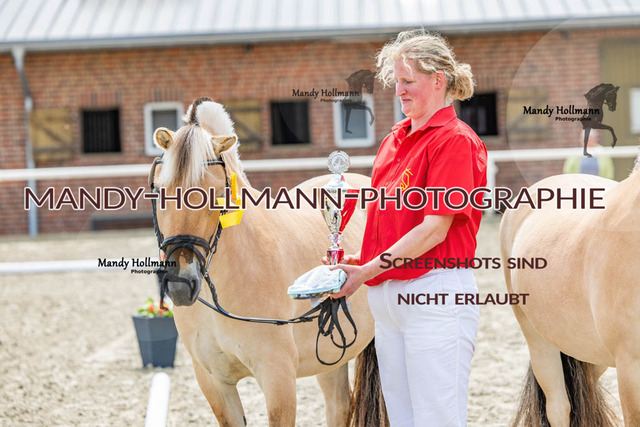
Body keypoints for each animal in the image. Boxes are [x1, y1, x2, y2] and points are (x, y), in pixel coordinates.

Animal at [149, 97, 386, 426]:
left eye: (217, 195)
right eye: (160, 191)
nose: (181, 285)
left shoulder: (277, 378)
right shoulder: (214, 382)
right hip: (329, 352)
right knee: (339, 406)